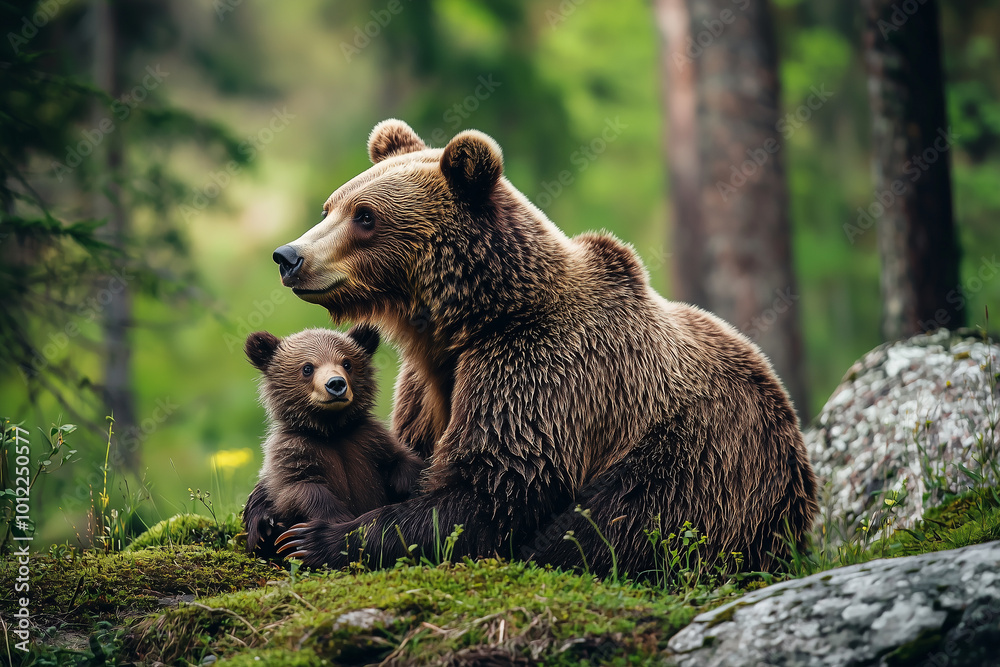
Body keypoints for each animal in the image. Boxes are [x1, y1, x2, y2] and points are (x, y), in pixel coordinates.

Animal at [241, 324, 424, 558]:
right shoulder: (294, 451)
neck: (331, 431)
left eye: (347, 363)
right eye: (307, 367)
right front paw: (333, 523)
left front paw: (410, 489)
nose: (336, 384)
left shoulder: (369, 440)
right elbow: (299, 489)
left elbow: (402, 461)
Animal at [271, 119, 818, 579]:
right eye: (330, 207)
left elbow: (492, 486)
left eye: (365, 216)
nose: (289, 256)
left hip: (702, 460)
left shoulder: (542, 369)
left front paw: (320, 539)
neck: (468, 320)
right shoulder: (427, 384)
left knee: (619, 522)